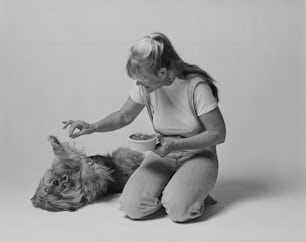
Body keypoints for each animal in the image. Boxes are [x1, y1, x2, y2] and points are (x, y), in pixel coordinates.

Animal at [32, 136, 216, 212]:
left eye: (54, 184)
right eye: (58, 195)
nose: (63, 182)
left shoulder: (75, 162)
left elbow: (71, 155)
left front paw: (55, 143)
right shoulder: (96, 181)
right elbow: (89, 170)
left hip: (122, 153)